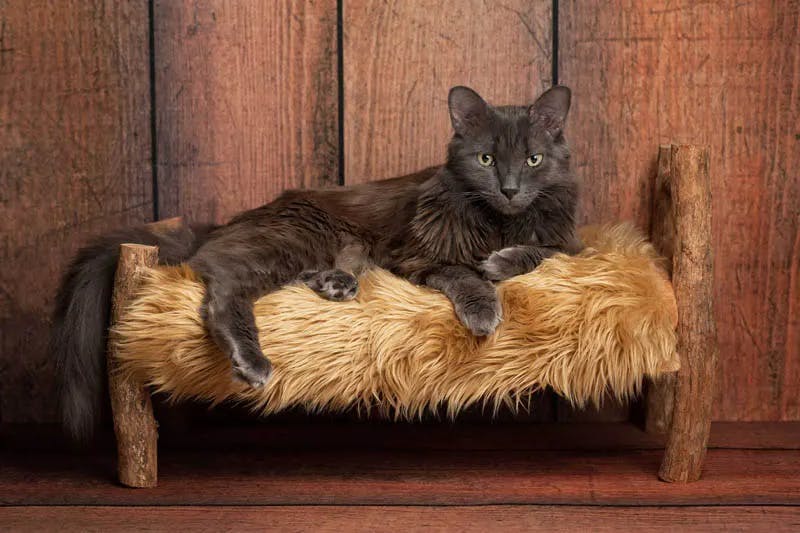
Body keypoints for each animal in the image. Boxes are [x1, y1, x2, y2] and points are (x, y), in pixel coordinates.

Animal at [53, 84, 580, 440]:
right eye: (486, 159)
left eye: (533, 160)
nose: (509, 189)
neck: (500, 223)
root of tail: (223, 224)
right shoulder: (416, 256)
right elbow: (463, 273)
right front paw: (484, 307)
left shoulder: (569, 245)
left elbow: (541, 251)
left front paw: (502, 262)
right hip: (297, 238)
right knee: (222, 288)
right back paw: (252, 360)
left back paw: (334, 284)